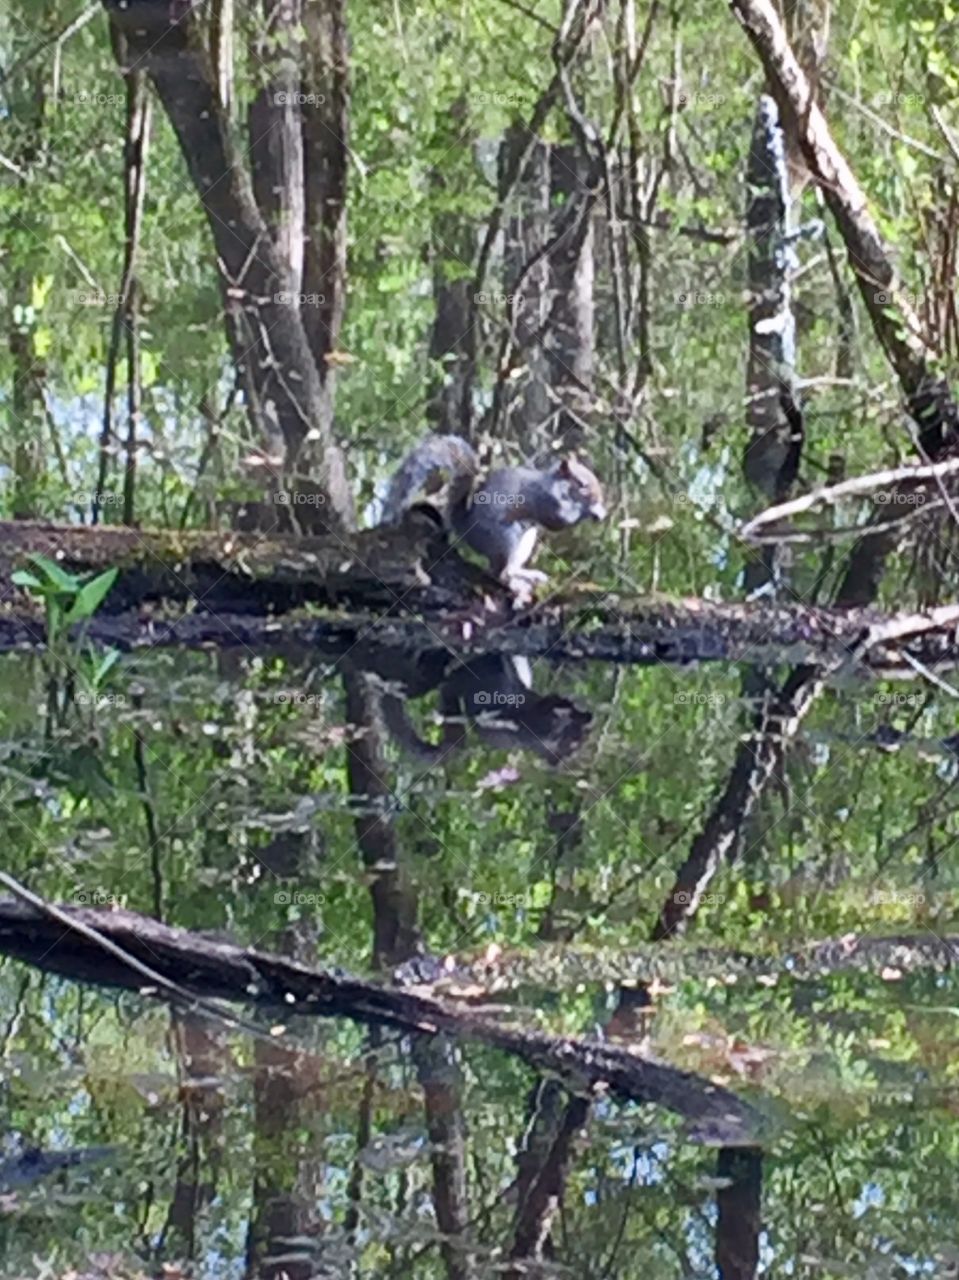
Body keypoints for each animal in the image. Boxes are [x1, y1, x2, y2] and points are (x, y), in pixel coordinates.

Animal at [380, 434, 606, 591]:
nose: (599, 498)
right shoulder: (542, 499)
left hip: (525, 539)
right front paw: (590, 511)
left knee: (501, 569)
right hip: (505, 537)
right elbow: (558, 520)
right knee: (503, 572)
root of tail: (464, 525)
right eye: (582, 485)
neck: (556, 486)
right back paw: (520, 579)